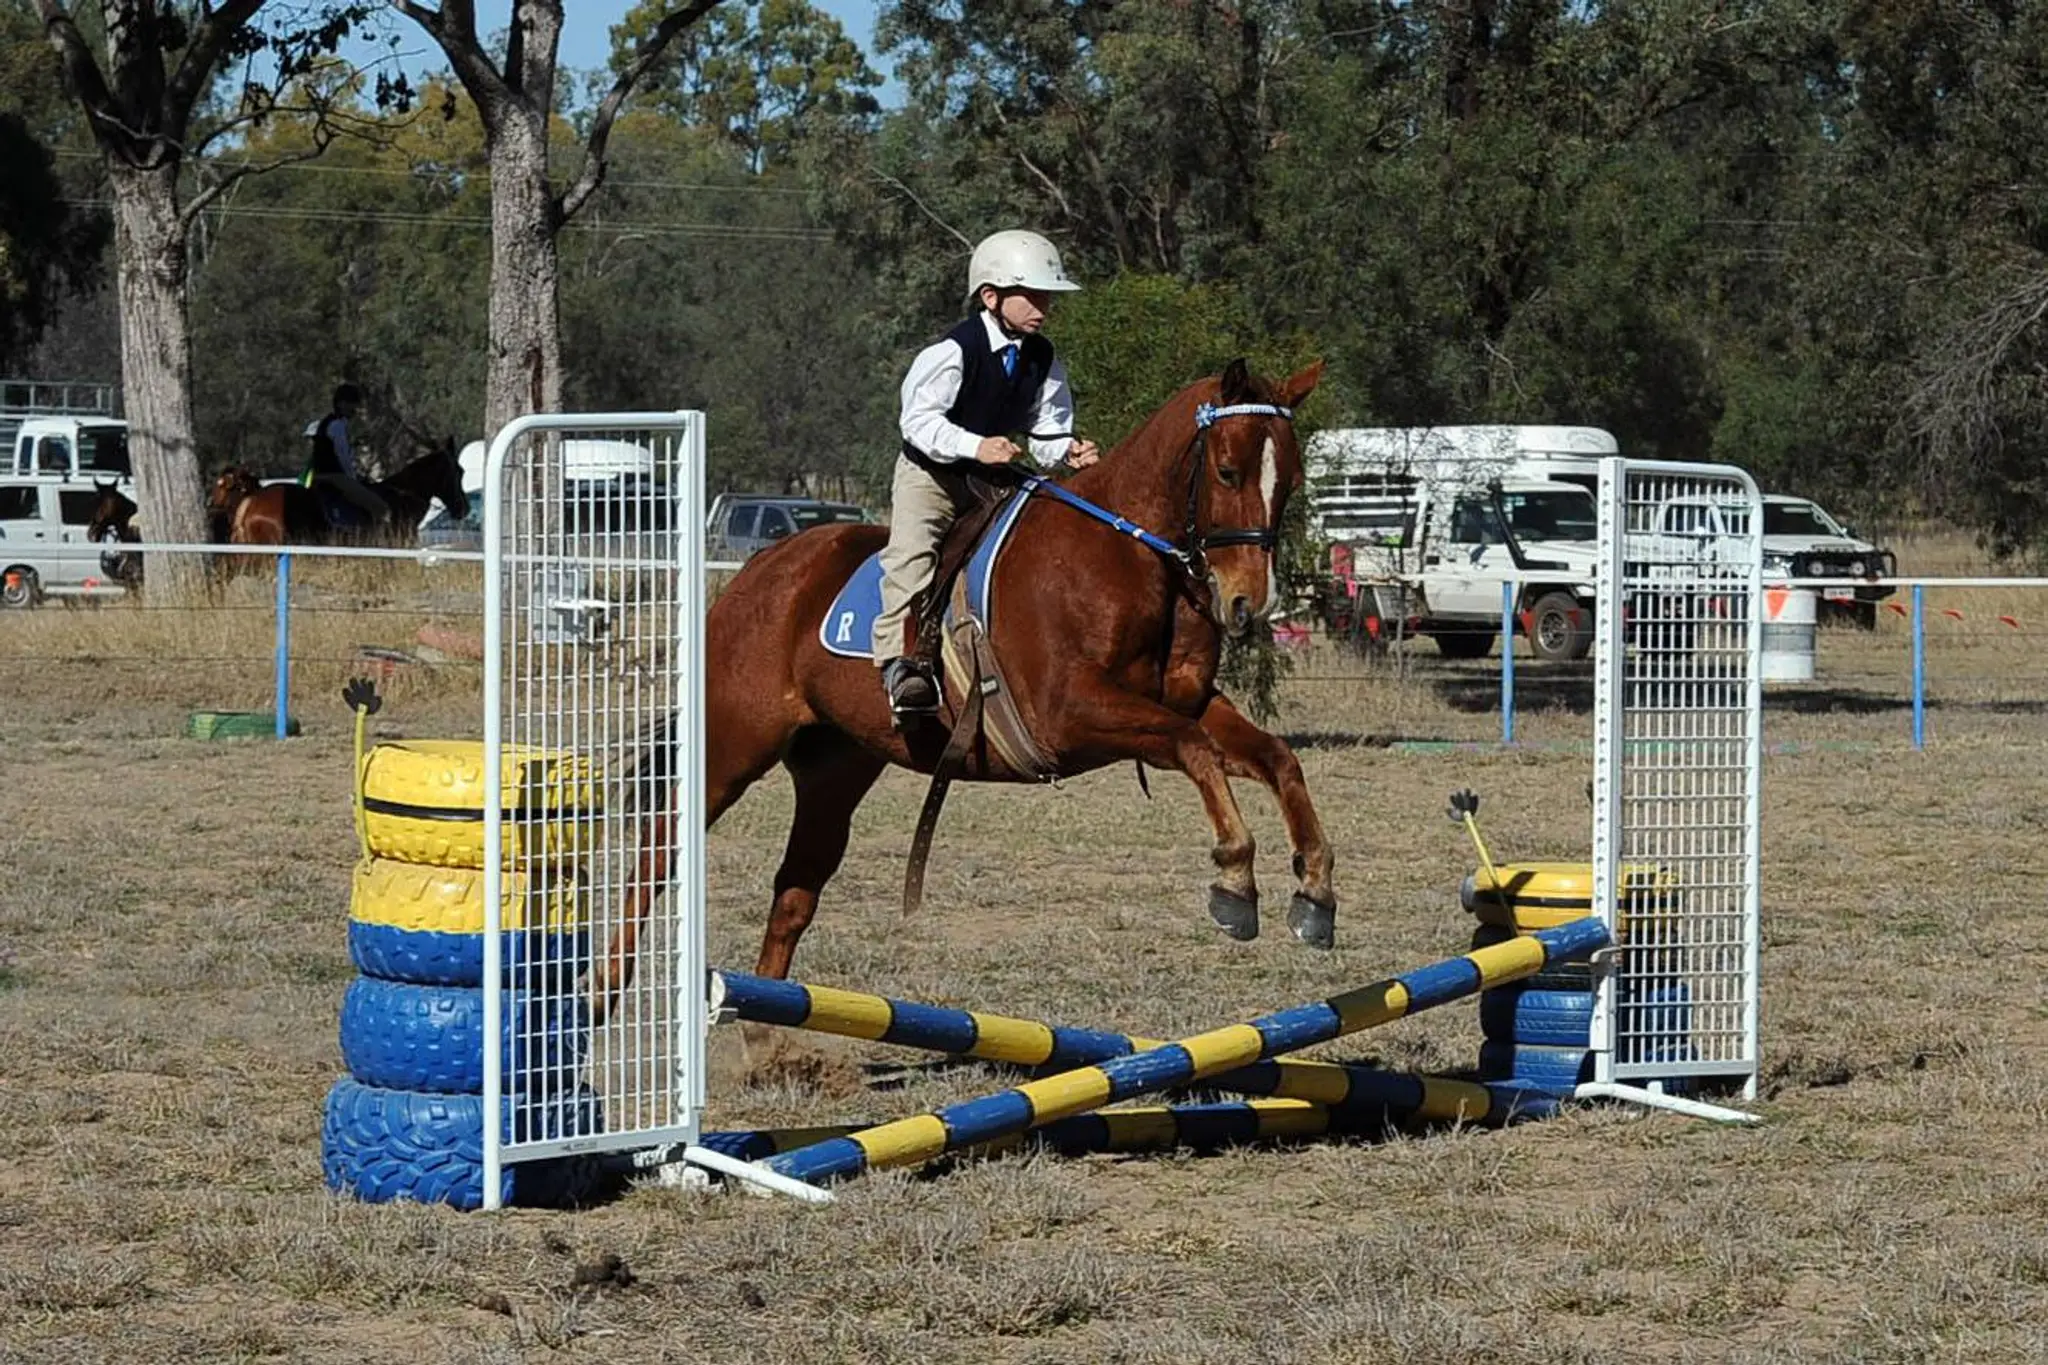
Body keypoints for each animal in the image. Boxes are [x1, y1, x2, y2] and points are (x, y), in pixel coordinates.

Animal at [594, 357, 1336, 1004]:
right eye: (1228, 470)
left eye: (1292, 482)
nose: (1248, 603)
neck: (1125, 556)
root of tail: (759, 570)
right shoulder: (1071, 716)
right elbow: (1195, 749)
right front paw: (1235, 878)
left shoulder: (1182, 703)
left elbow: (1275, 758)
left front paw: (1315, 890)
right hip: (733, 744)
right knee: (660, 846)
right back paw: (604, 986)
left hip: (835, 766)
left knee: (795, 889)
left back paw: (766, 1042)